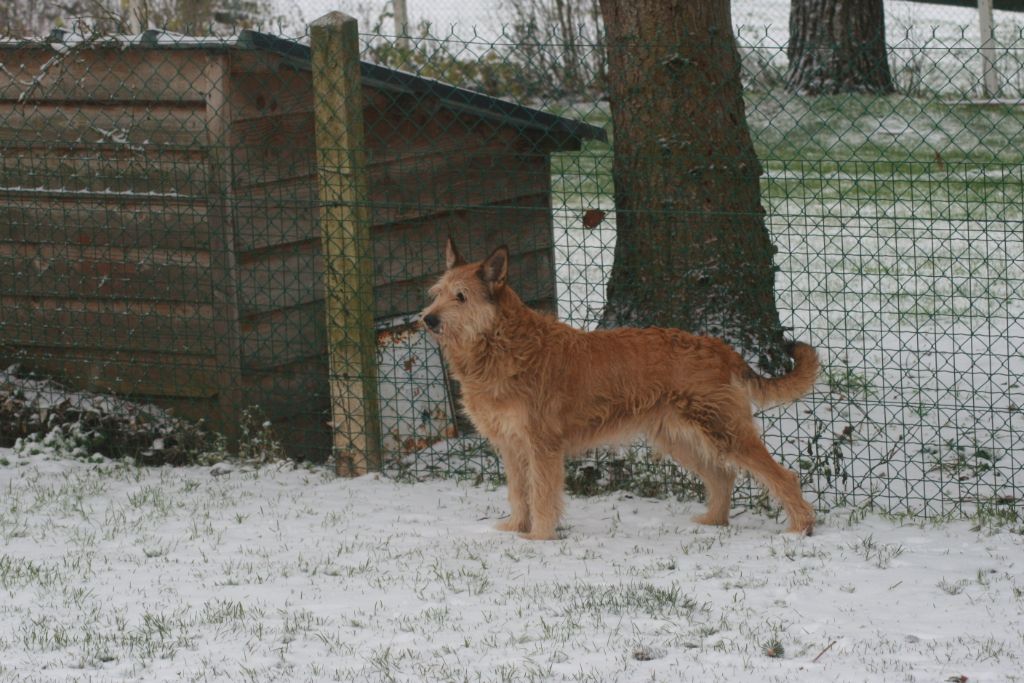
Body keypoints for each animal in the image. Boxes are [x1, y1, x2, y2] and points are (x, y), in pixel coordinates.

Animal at [419, 239, 819, 540]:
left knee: (782, 475)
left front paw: (539, 538)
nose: (427, 319)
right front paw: (516, 529)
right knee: (723, 475)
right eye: (437, 293)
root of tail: (721, 348)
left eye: (461, 297)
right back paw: (713, 522)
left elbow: (543, 494)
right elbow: (520, 493)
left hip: (726, 431)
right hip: (679, 436)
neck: (502, 344)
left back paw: (800, 527)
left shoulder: (542, 445)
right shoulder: (511, 445)